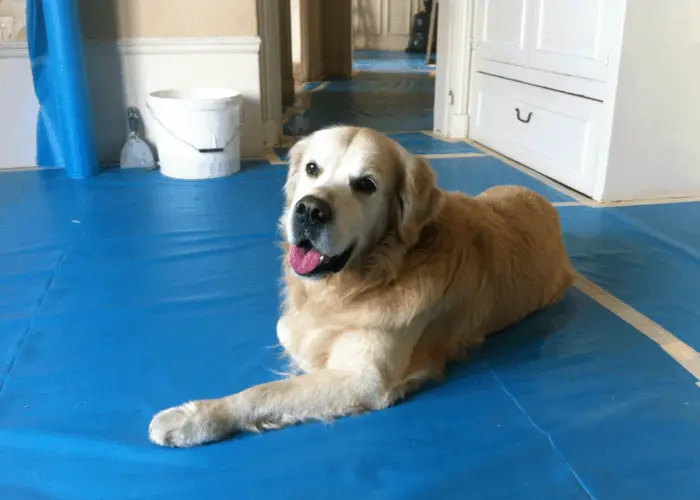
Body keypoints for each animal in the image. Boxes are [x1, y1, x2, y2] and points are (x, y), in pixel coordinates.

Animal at [149, 126, 576, 450]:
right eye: (312, 168)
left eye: (366, 184)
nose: (309, 210)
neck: (361, 280)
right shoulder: (295, 328)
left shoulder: (365, 380)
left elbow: (264, 392)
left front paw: (193, 418)